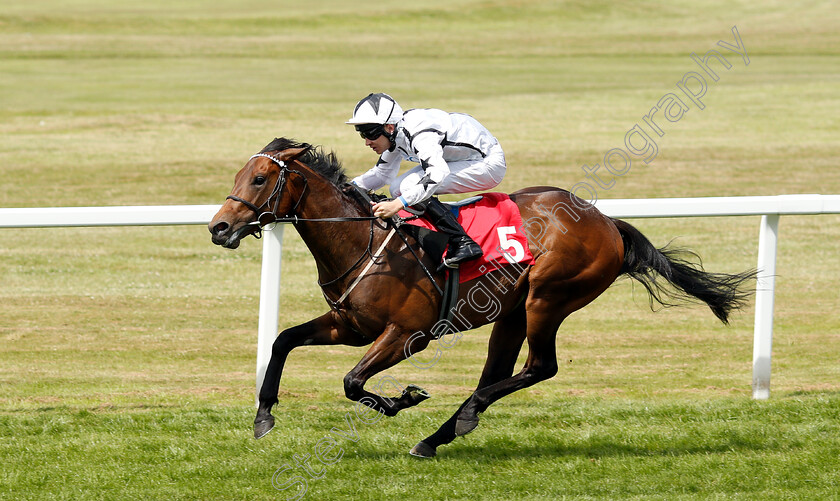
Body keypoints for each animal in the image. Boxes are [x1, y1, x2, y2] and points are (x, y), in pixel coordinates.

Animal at [208, 138, 756, 458]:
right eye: (236, 175)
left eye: (259, 178)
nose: (219, 228)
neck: (362, 240)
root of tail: (605, 220)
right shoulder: (350, 327)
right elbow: (282, 340)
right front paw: (263, 416)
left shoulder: (406, 334)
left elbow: (351, 381)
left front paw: (400, 399)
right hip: (511, 311)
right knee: (498, 373)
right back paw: (439, 436)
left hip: (548, 298)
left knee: (539, 367)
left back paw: (456, 421)